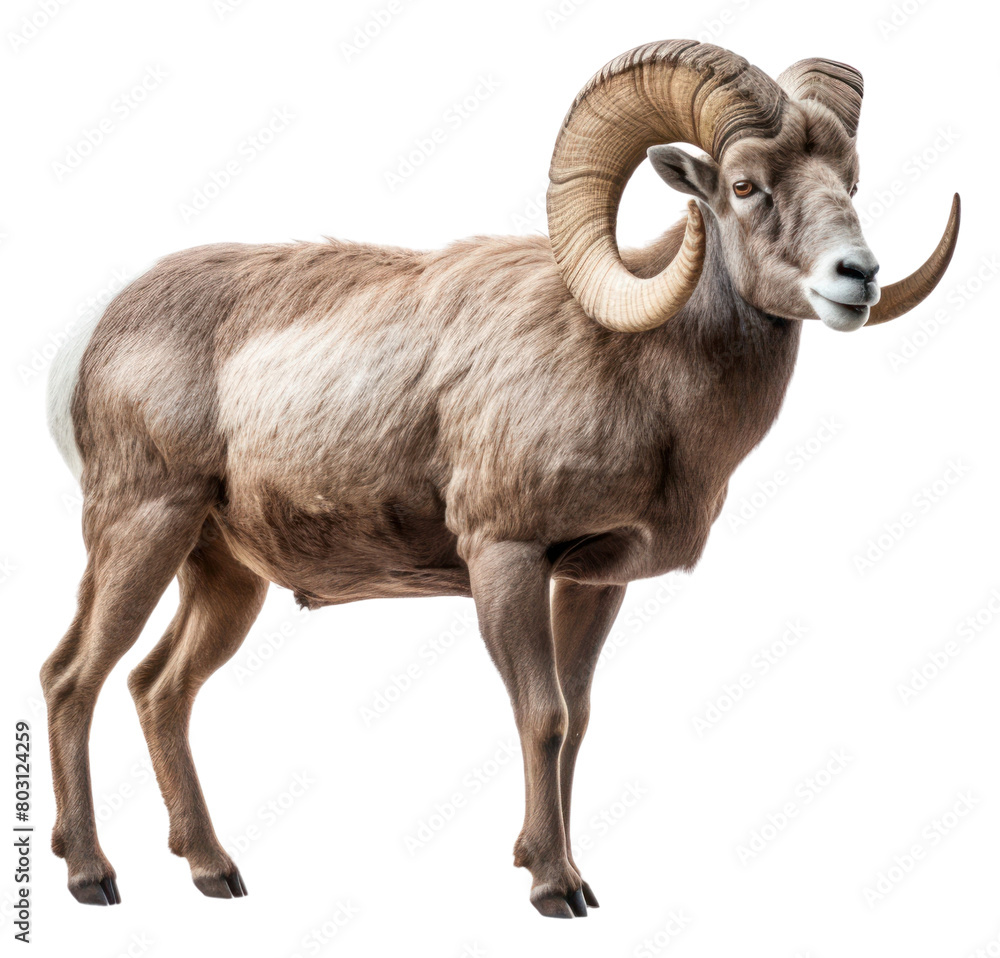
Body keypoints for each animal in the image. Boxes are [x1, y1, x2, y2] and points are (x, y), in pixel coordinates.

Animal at [42, 39, 960, 917]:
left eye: (848, 181)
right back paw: (91, 876)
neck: (638, 371)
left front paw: (563, 867)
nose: (857, 276)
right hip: (143, 530)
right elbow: (541, 715)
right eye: (744, 184)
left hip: (225, 576)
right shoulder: (507, 560)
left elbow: (577, 719)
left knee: (158, 688)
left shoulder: (592, 582)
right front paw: (555, 888)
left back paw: (213, 871)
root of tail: (93, 340)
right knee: (72, 677)